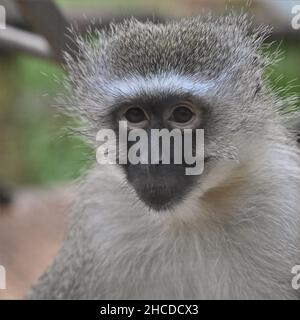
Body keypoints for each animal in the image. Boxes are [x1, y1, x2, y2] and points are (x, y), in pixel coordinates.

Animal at [27, 13, 298, 300]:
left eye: (182, 115)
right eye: (135, 115)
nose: (152, 157)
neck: (189, 218)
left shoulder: (282, 199)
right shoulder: (99, 213)